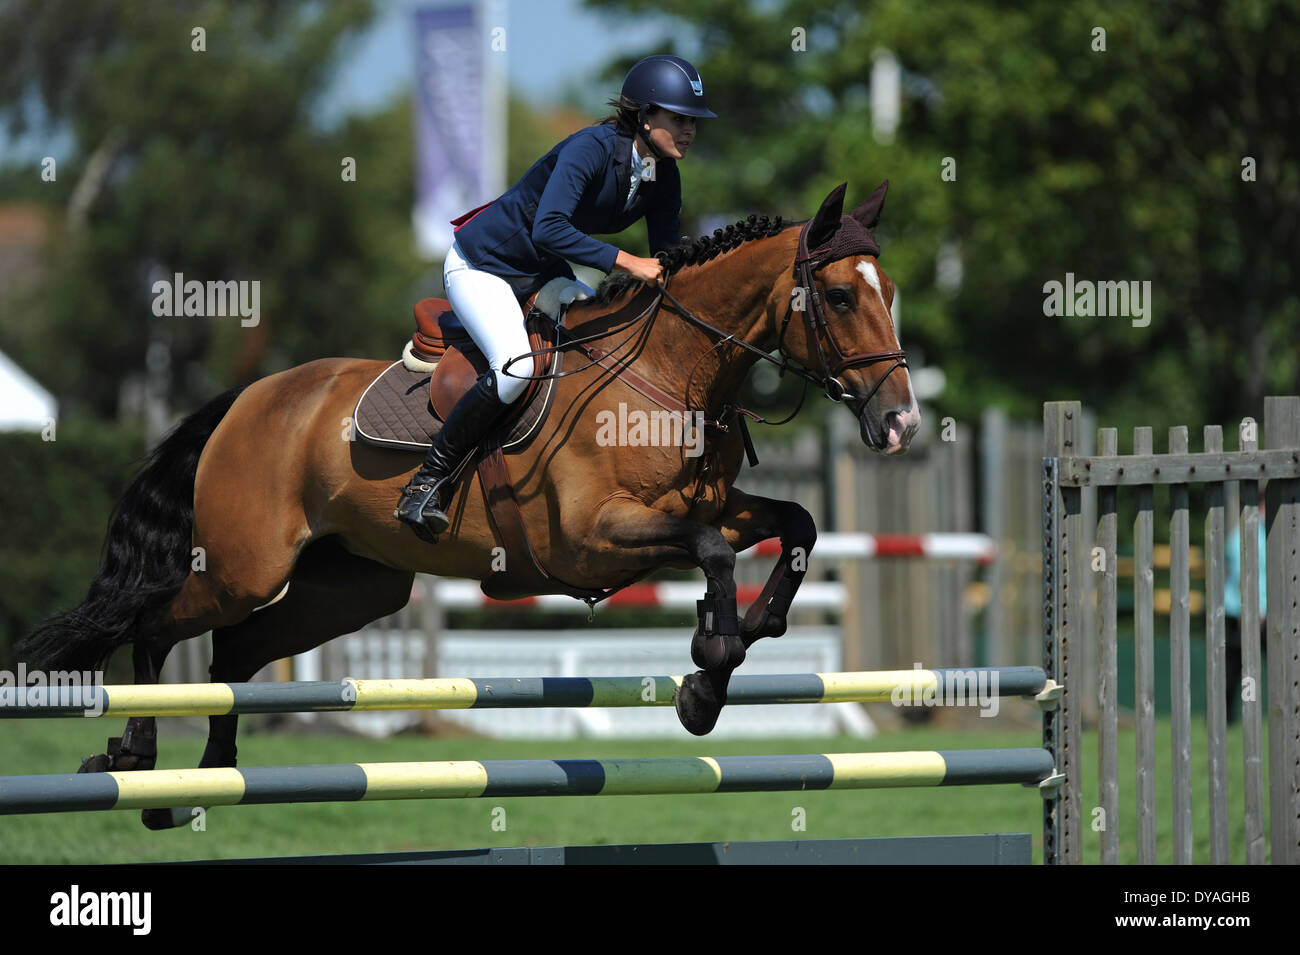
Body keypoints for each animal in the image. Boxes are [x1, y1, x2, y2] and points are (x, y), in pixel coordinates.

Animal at [18, 181, 918, 829]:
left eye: (892, 292)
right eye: (842, 298)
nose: (902, 421)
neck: (671, 371)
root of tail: (249, 398)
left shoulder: (711, 503)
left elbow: (791, 527)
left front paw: (735, 639)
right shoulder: (590, 539)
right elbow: (715, 550)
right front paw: (706, 670)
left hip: (352, 587)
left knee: (234, 655)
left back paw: (206, 777)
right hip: (247, 566)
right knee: (156, 624)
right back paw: (136, 759)